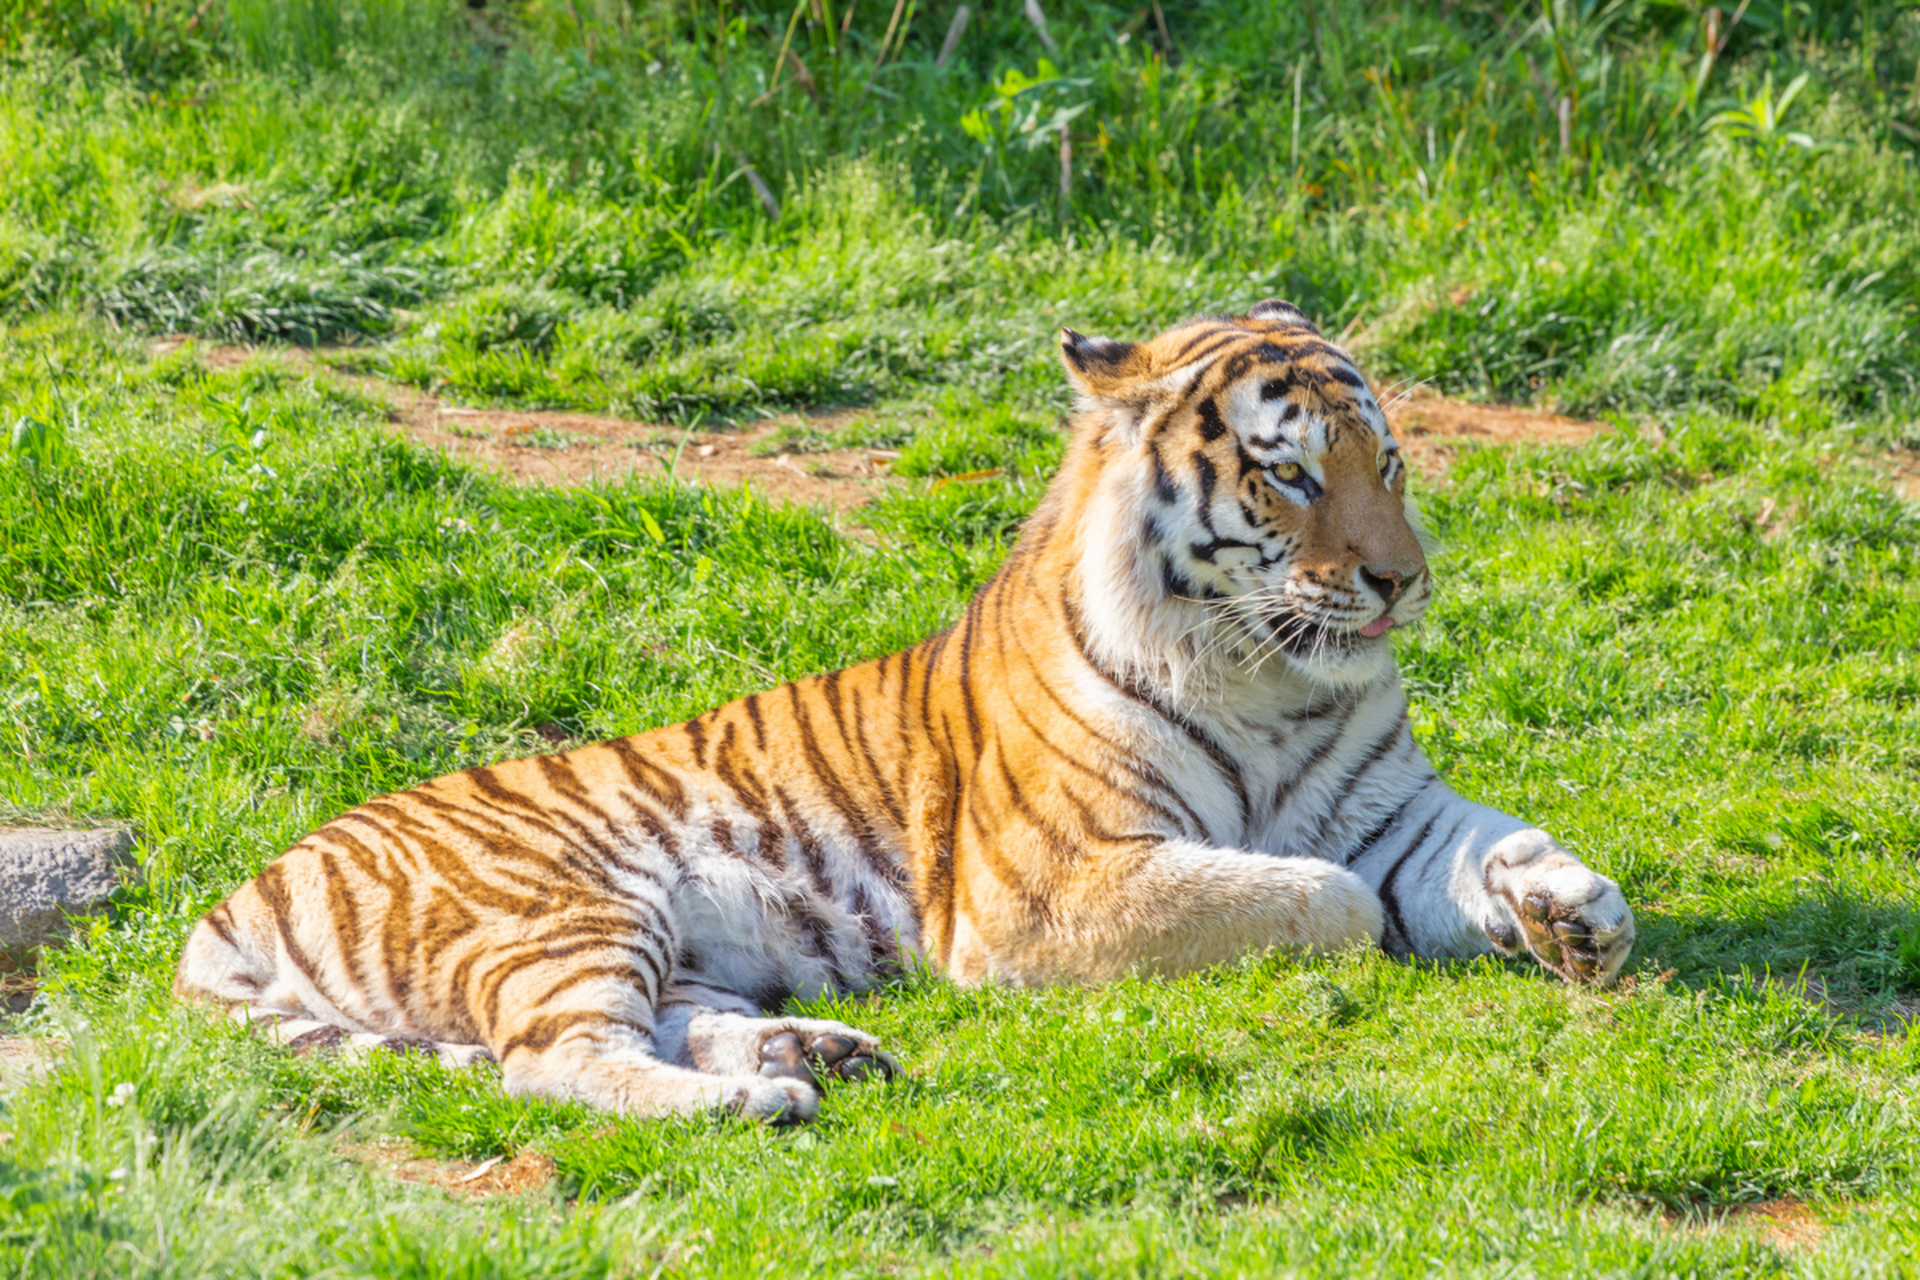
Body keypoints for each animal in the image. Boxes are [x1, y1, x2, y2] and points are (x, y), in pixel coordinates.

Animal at [176, 301, 1635, 1120]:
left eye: (1387, 463)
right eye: (1290, 475)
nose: (1402, 580)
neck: (1270, 671)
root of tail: (232, 897)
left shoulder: (1396, 810)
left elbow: (1497, 839)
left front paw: (1579, 913)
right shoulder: (1057, 882)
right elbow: (1321, 897)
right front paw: (1376, 927)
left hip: (663, 943)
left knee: (663, 1021)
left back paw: (818, 1053)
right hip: (560, 908)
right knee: (554, 1059)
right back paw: (762, 1103)